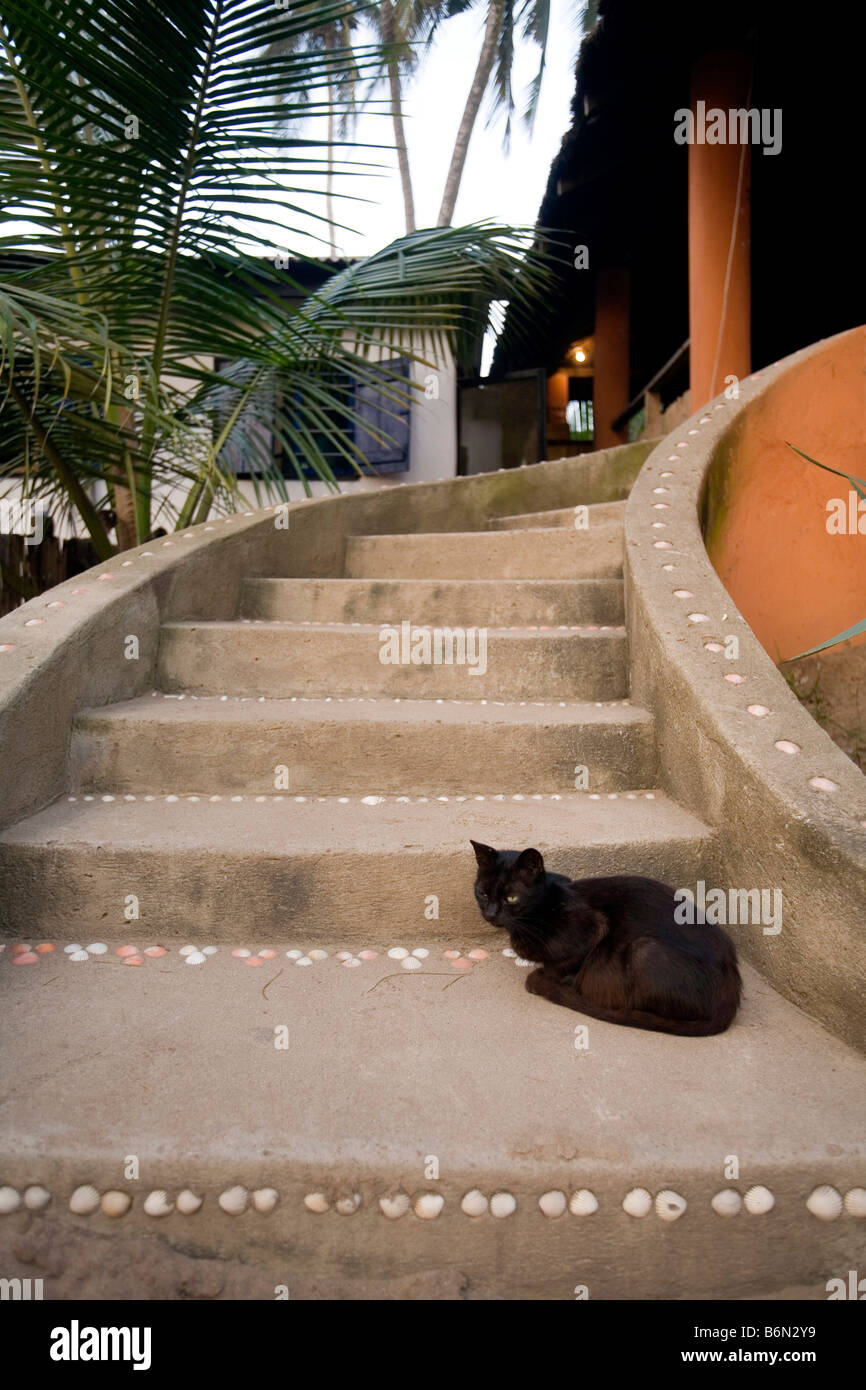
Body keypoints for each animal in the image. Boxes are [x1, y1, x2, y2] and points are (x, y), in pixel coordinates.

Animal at [469, 839, 739, 1039]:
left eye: (511, 898)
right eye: (483, 893)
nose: (491, 913)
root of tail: (732, 989)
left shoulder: (595, 929)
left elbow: (563, 965)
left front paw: (551, 979)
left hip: (645, 949)